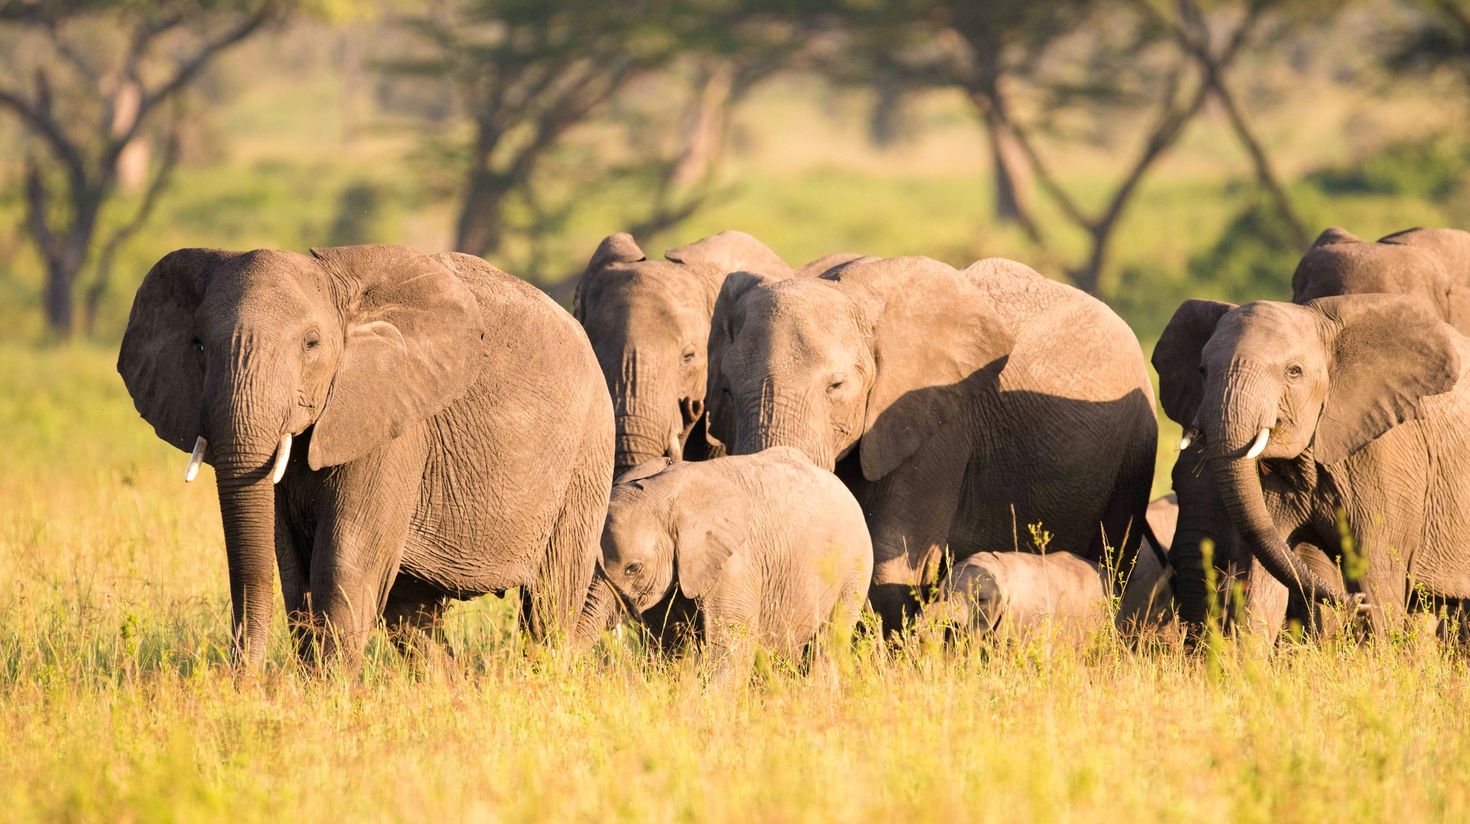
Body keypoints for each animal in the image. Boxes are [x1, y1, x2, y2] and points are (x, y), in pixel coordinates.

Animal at [118, 244, 614, 666]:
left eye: (312, 344)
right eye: (198, 345)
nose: (243, 681)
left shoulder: (393, 421)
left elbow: (344, 563)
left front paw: (325, 691)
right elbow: (294, 570)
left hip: (587, 455)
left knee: (550, 603)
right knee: (413, 616)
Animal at [599, 447, 873, 680]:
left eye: (633, 568)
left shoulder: (735, 564)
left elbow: (730, 650)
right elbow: (666, 645)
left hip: (853, 571)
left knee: (827, 645)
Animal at [1159, 226, 1470, 639]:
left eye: (1294, 372)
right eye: (1203, 371)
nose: (1354, 602)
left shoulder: (1391, 458)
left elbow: (1377, 573)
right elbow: (1267, 576)